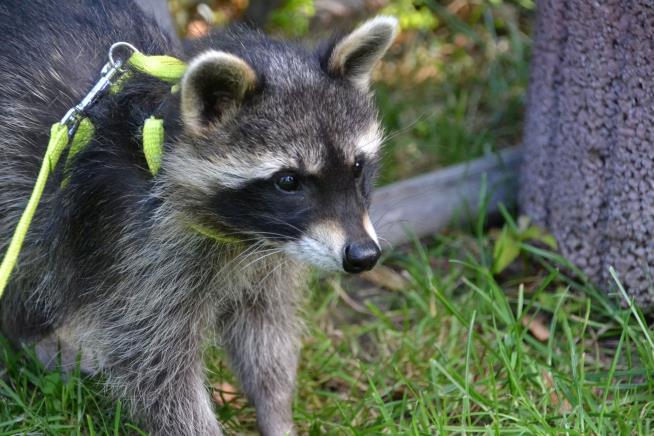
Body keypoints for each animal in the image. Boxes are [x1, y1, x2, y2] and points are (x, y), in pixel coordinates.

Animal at [0, 1, 400, 434]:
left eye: (357, 167)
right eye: (288, 181)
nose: (364, 256)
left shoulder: (272, 255)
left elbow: (266, 334)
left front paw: (276, 412)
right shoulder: (130, 250)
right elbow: (152, 366)